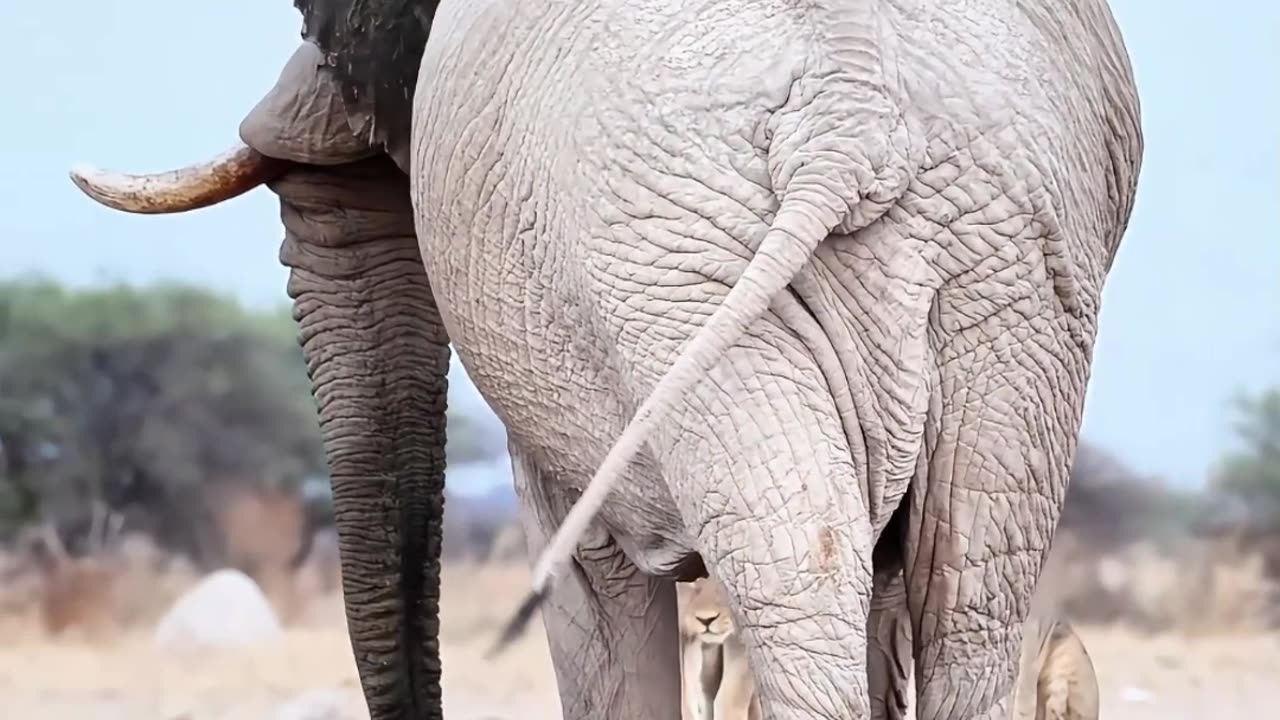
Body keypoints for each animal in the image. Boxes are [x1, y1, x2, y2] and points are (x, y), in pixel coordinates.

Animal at [70, 0, 1146, 712]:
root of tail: (847, 114)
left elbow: (591, 594)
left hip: (669, 255)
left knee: (802, 585)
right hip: (1006, 259)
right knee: (964, 589)